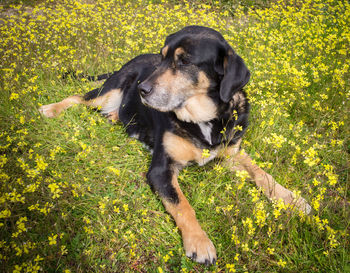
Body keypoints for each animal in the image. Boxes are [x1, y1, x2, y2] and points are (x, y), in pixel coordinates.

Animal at [39, 25, 310, 264]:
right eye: (162, 57)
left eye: (185, 62)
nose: (142, 89)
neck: (202, 119)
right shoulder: (161, 170)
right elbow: (183, 206)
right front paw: (199, 243)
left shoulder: (233, 152)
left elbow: (261, 173)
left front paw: (290, 199)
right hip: (109, 91)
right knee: (78, 97)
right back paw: (50, 109)